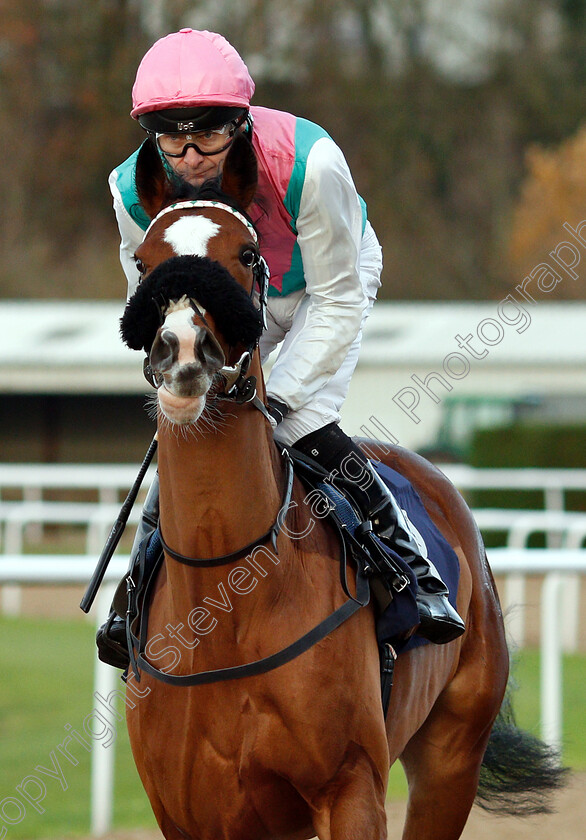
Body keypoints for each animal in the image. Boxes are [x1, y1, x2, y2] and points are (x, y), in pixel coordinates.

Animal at [115, 135, 564, 836]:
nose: (183, 350)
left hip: (451, 757)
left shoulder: (349, 785)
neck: (228, 598)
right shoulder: (187, 812)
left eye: (246, 255)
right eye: (144, 261)